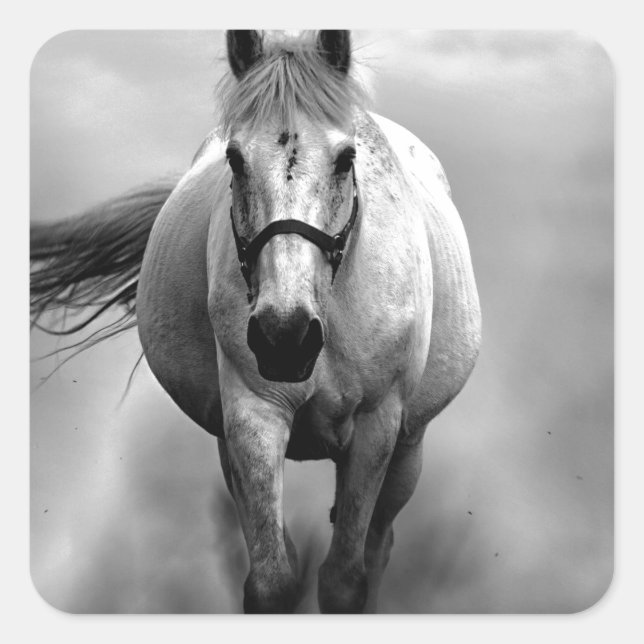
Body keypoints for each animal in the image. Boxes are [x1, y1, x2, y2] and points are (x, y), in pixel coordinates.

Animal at [30, 30, 481, 613]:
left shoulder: (376, 426)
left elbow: (345, 582)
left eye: (346, 158)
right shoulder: (251, 414)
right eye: (235, 158)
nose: (284, 338)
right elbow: (271, 581)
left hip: (408, 448)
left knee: (378, 544)